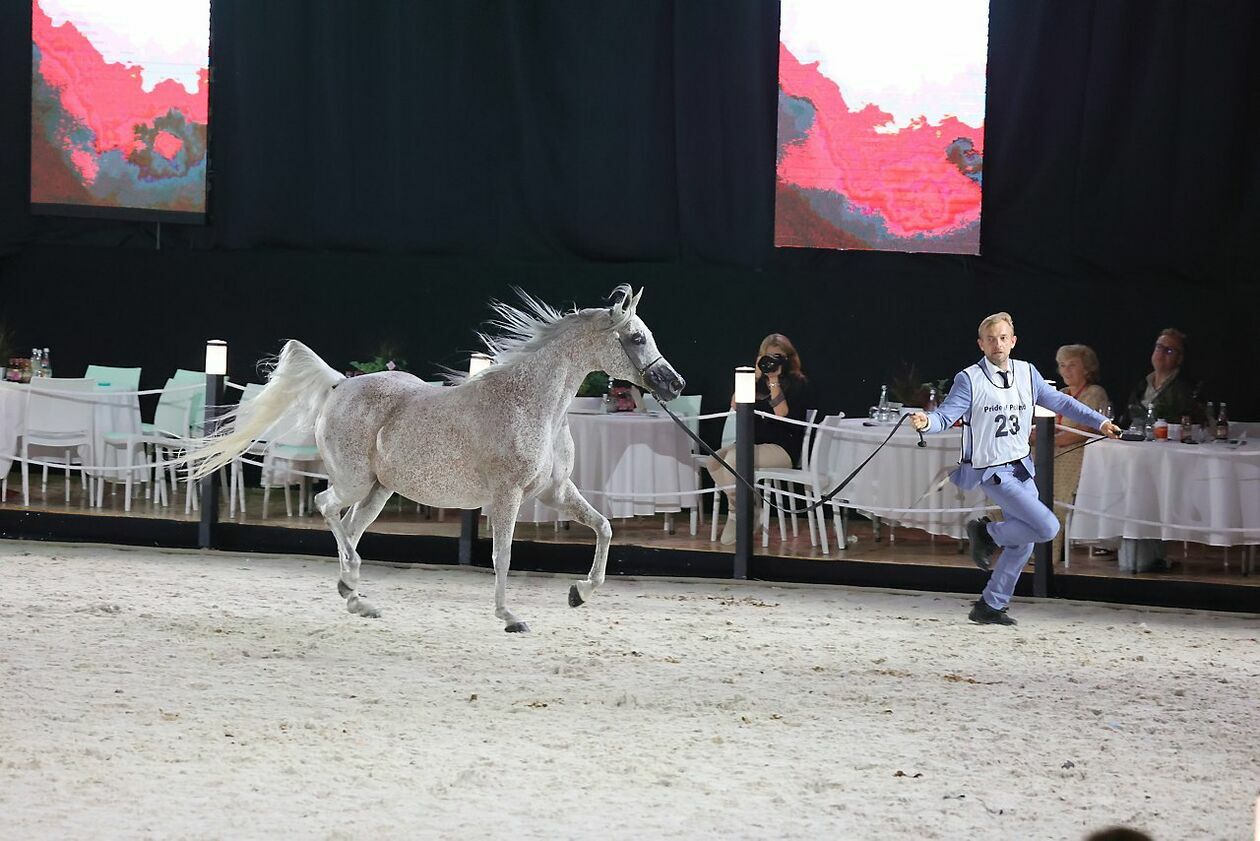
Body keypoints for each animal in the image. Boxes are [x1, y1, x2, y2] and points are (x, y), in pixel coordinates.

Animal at [186, 285, 685, 632]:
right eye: (636, 337)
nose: (674, 383)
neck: (533, 403)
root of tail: (339, 384)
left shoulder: (555, 492)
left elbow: (604, 527)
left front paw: (579, 593)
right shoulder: (507, 498)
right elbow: (503, 555)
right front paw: (509, 616)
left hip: (378, 491)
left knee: (349, 528)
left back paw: (356, 596)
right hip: (353, 482)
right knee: (326, 508)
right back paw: (354, 583)